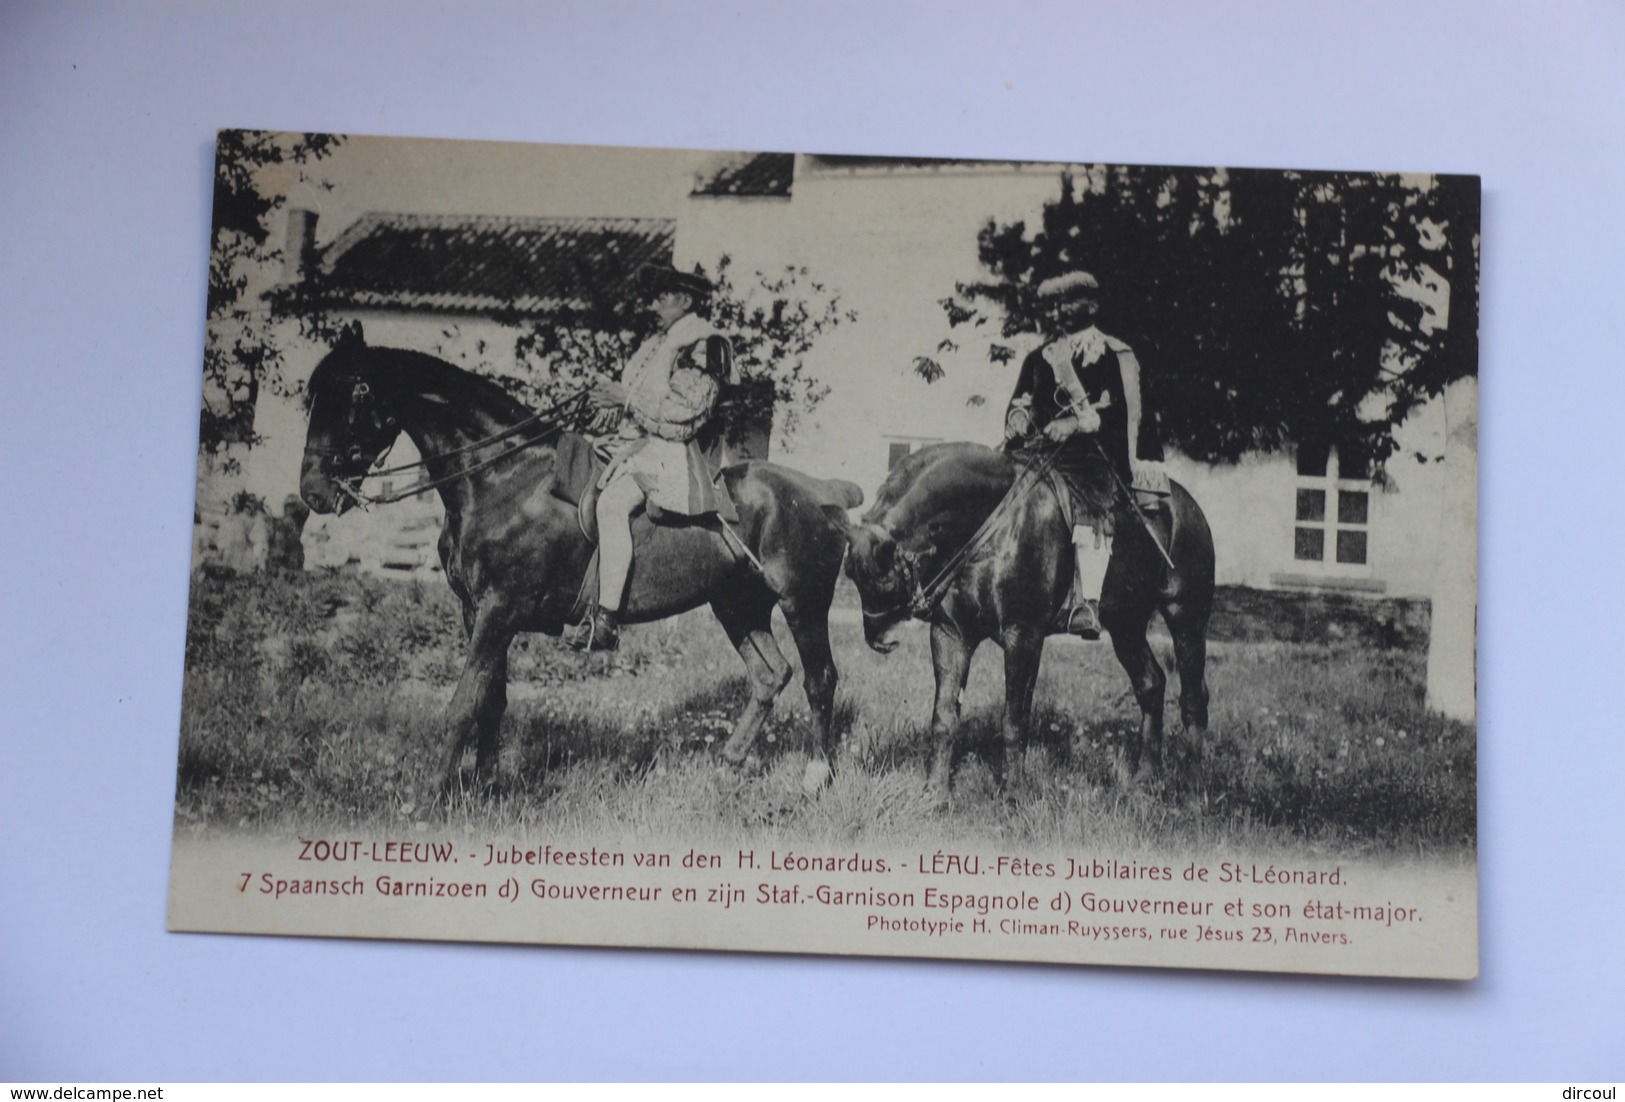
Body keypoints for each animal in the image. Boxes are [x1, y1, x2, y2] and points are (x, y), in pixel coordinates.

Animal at [300, 326, 871, 802]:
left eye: (353, 394)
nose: (314, 492)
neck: (504, 479)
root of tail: (825, 491)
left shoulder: (498, 611)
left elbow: (464, 702)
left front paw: (429, 796)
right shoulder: (479, 614)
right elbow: (491, 700)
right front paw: (484, 787)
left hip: (802, 604)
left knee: (819, 680)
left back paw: (815, 778)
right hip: (737, 606)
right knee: (770, 676)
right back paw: (728, 763)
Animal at [845, 438, 1215, 802]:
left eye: (885, 579)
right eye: (850, 575)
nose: (879, 639)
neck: (996, 525)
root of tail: (1187, 507)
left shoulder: (1023, 637)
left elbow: (1014, 720)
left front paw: (1013, 794)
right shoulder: (950, 635)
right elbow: (945, 717)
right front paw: (935, 792)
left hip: (1186, 618)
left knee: (1194, 697)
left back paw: (1194, 786)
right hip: (1127, 624)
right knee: (1151, 685)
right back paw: (1144, 780)